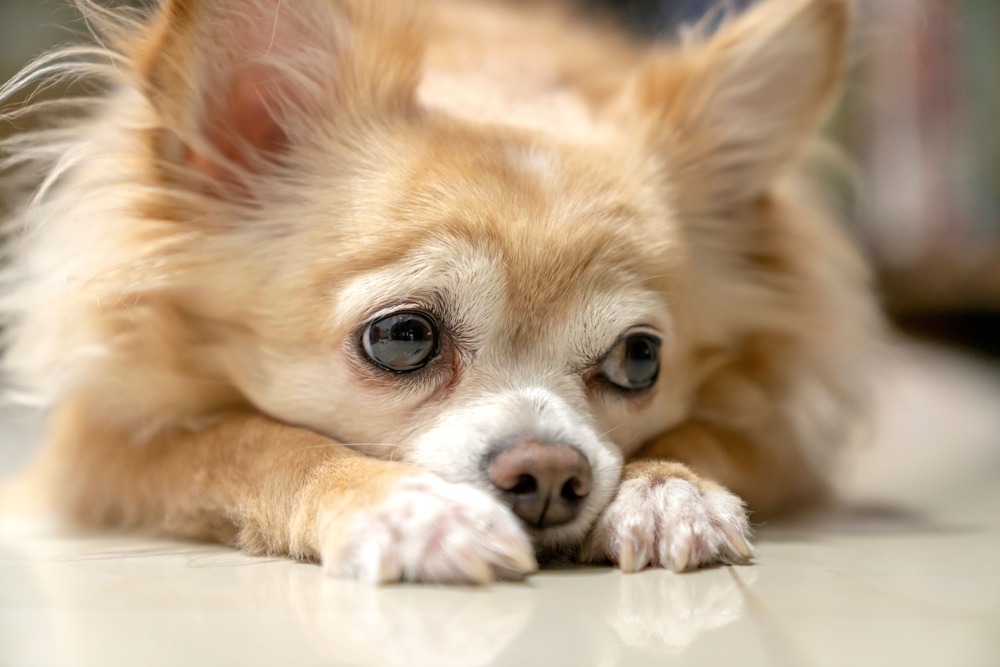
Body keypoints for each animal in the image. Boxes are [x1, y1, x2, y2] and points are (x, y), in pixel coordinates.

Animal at [0, 0, 876, 584]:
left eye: (639, 360)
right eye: (403, 338)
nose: (549, 472)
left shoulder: (779, 432)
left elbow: (713, 429)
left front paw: (668, 488)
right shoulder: (102, 450)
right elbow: (248, 441)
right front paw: (404, 507)